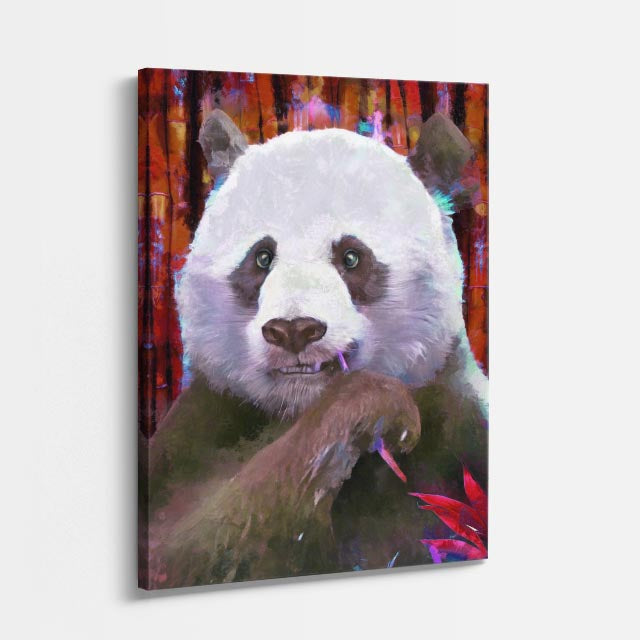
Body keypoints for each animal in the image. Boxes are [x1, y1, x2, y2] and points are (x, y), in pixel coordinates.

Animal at [141, 110, 488, 589]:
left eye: (352, 257)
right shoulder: (203, 425)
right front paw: (380, 407)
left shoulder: (459, 425)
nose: (294, 330)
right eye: (262, 258)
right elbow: (184, 546)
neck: (298, 407)